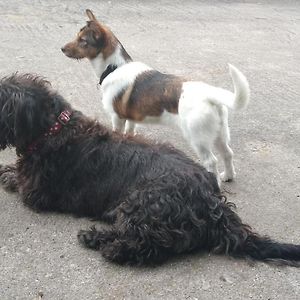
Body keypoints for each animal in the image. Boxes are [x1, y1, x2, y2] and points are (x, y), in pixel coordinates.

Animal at [0, 74, 300, 266]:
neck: (54, 128)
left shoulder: (34, 191)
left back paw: (103, 242)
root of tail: (213, 203)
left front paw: (5, 172)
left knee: (148, 245)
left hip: (144, 201)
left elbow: (13, 177)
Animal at [62, 9, 250, 184]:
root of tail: (210, 94)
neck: (114, 67)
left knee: (211, 161)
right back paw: (228, 176)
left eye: (82, 40)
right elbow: (130, 133)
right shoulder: (131, 120)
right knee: (227, 153)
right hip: (219, 134)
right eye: (77, 36)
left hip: (198, 138)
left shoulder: (117, 118)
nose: (62, 49)